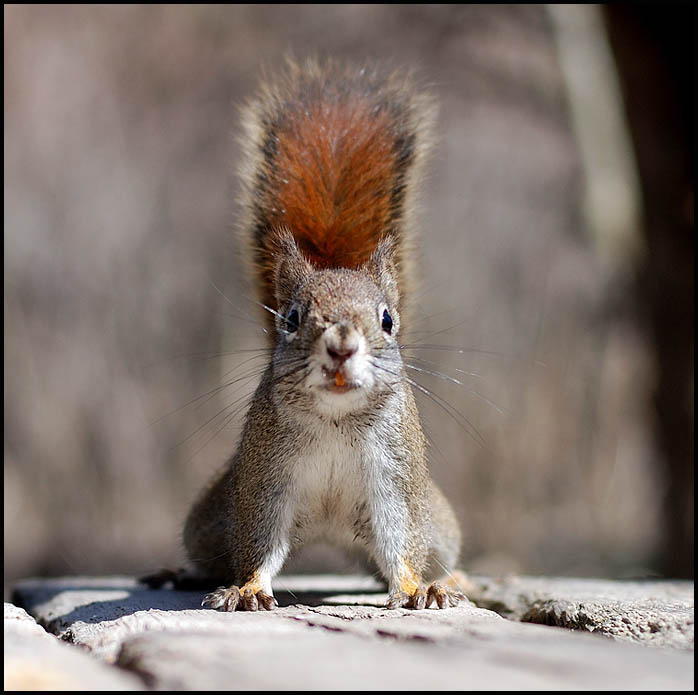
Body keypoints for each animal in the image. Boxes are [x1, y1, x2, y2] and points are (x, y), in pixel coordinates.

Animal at [181, 60, 465, 611]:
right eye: (290, 318)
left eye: (387, 320)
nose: (341, 346)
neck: (336, 419)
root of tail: (332, 534)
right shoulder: (264, 481)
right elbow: (259, 545)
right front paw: (248, 589)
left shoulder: (395, 479)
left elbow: (401, 544)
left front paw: (416, 589)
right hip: (208, 523)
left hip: (439, 523)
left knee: (434, 549)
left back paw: (455, 579)